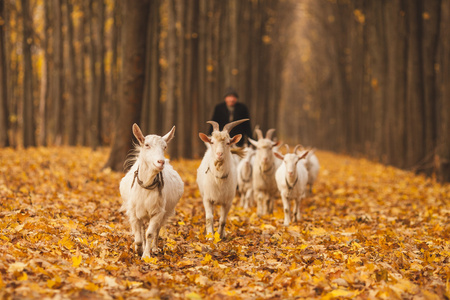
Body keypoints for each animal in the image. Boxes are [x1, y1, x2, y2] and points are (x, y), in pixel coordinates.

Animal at [120, 123, 184, 258]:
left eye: (165, 147)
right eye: (147, 145)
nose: (161, 162)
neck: (146, 185)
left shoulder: (158, 212)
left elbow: (149, 233)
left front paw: (146, 255)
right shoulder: (133, 212)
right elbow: (138, 235)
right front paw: (139, 249)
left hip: (165, 213)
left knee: (157, 229)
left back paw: (154, 248)